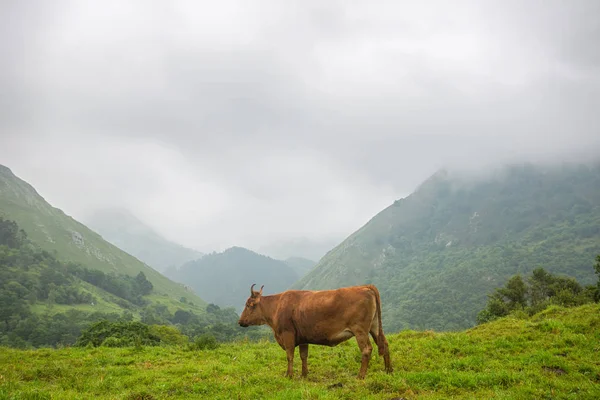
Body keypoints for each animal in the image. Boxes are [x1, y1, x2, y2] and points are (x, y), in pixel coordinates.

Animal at [239, 282, 394, 380]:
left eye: (248, 305)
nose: (240, 321)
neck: (277, 306)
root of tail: (366, 286)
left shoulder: (288, 334)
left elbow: (290, 355)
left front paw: (289, 375)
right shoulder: (303, 338)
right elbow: (303, 356)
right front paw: (304, 375)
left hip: (360, 330)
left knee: (367, 349)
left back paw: (360, 376)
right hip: (374, 327)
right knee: (385, 344)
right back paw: (388, 370)